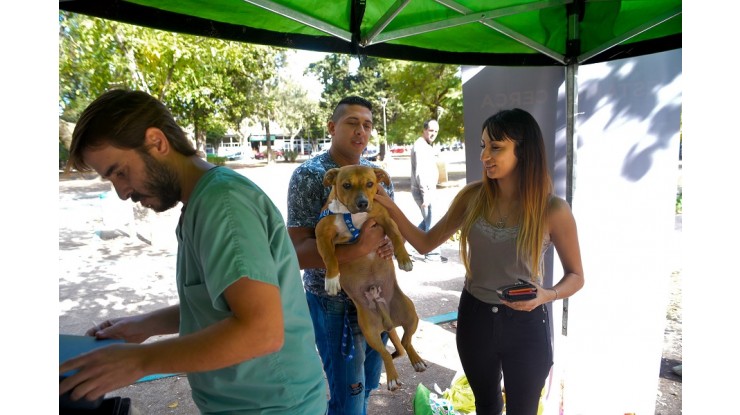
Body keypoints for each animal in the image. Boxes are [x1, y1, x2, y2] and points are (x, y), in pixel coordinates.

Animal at [314, 165, 428, 390]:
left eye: (370, 183)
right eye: (346, 185)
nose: (363, 203)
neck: (351, 216)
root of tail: (387, 321)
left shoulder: (385, 219)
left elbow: (395, 236)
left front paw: (404, 259)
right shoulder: (321, 233)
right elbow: (330, 257)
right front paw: (332, 279)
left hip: (410, 313)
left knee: (406, 341)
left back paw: (417, 361)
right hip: (369, 330)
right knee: (386, 352)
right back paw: (392, 378)